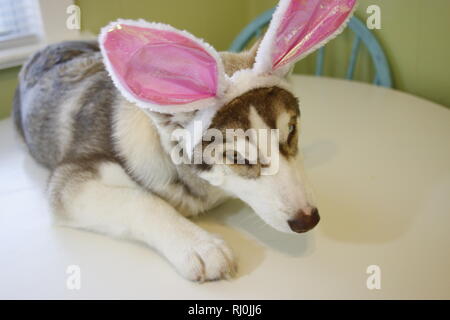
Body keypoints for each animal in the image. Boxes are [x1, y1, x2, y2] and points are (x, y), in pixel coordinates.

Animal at [11, 0, 356, 282]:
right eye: (238, 158)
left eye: (292, 131)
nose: (307, 220)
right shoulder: (71, 179)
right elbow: (141, 200)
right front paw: (200, 245)